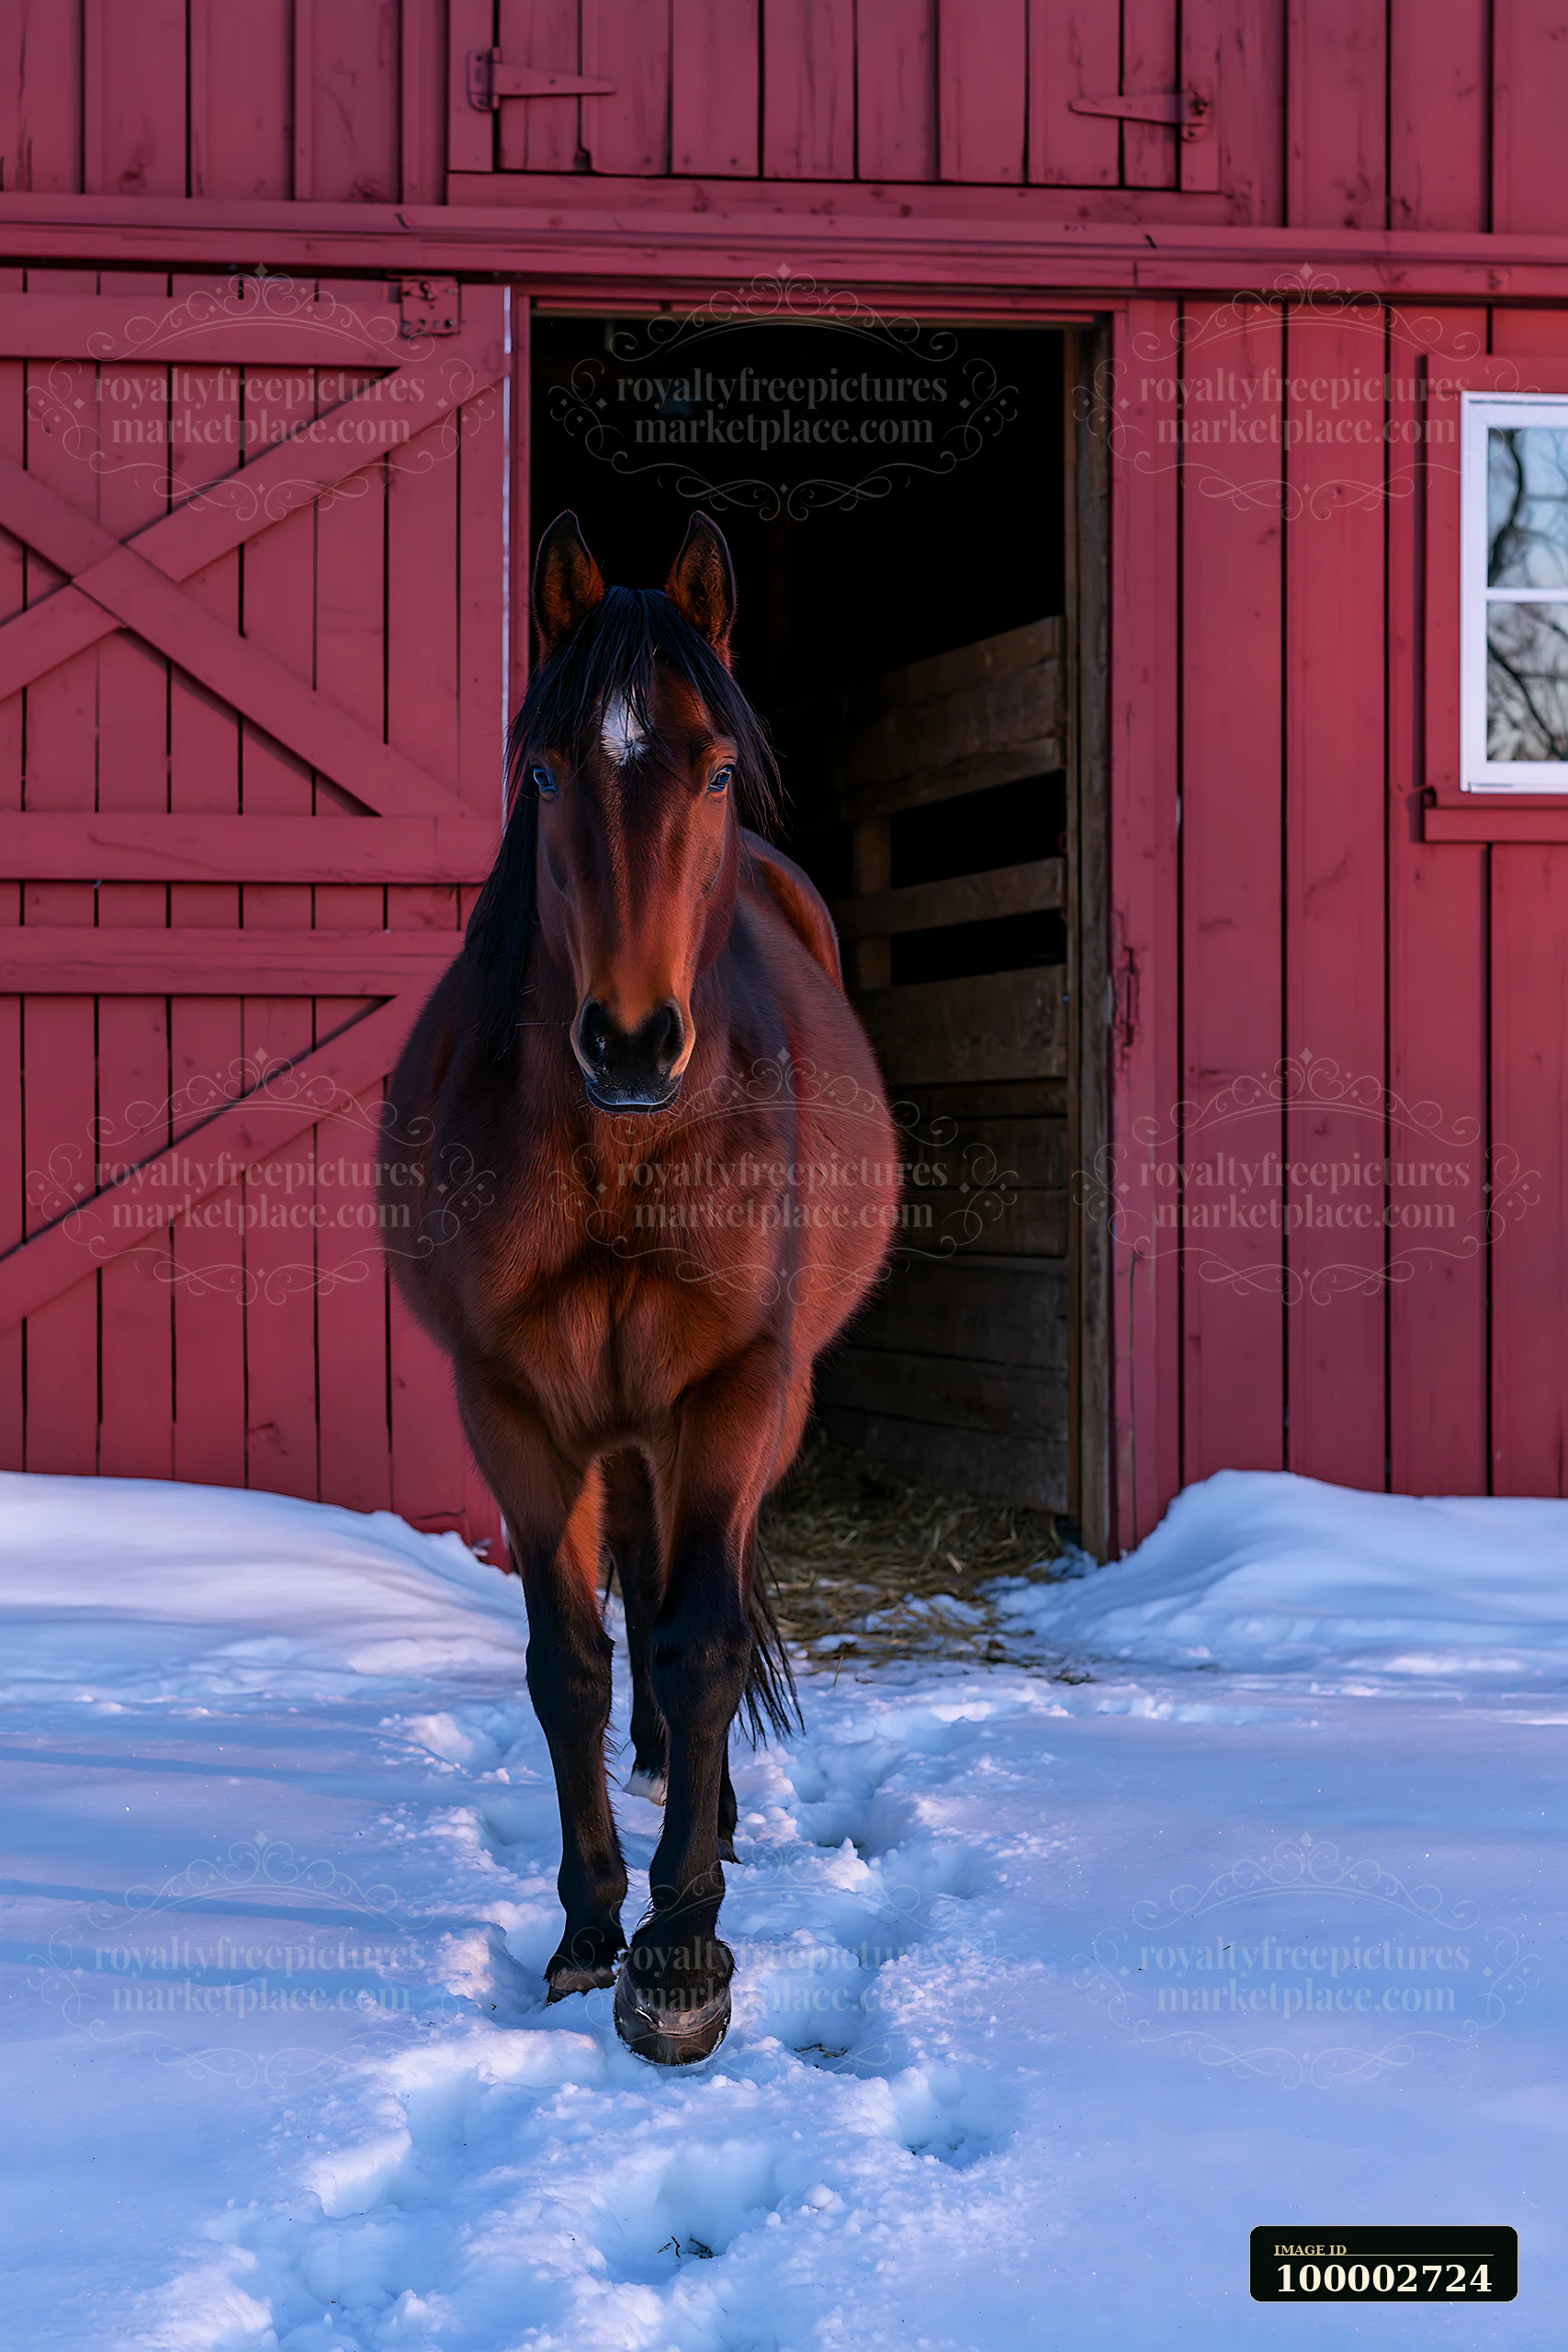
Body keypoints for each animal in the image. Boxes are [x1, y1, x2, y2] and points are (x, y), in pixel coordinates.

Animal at [383, 511, 899, 2064]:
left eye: (715, 768)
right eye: (548, 771)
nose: (625, 1043)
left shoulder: (733, 1388)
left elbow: (699, 1638)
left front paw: (681, 1955)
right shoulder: (512, 1405)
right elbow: (568, 1662)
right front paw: (588, 1931)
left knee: (698, 1598)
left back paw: (710, 1819)